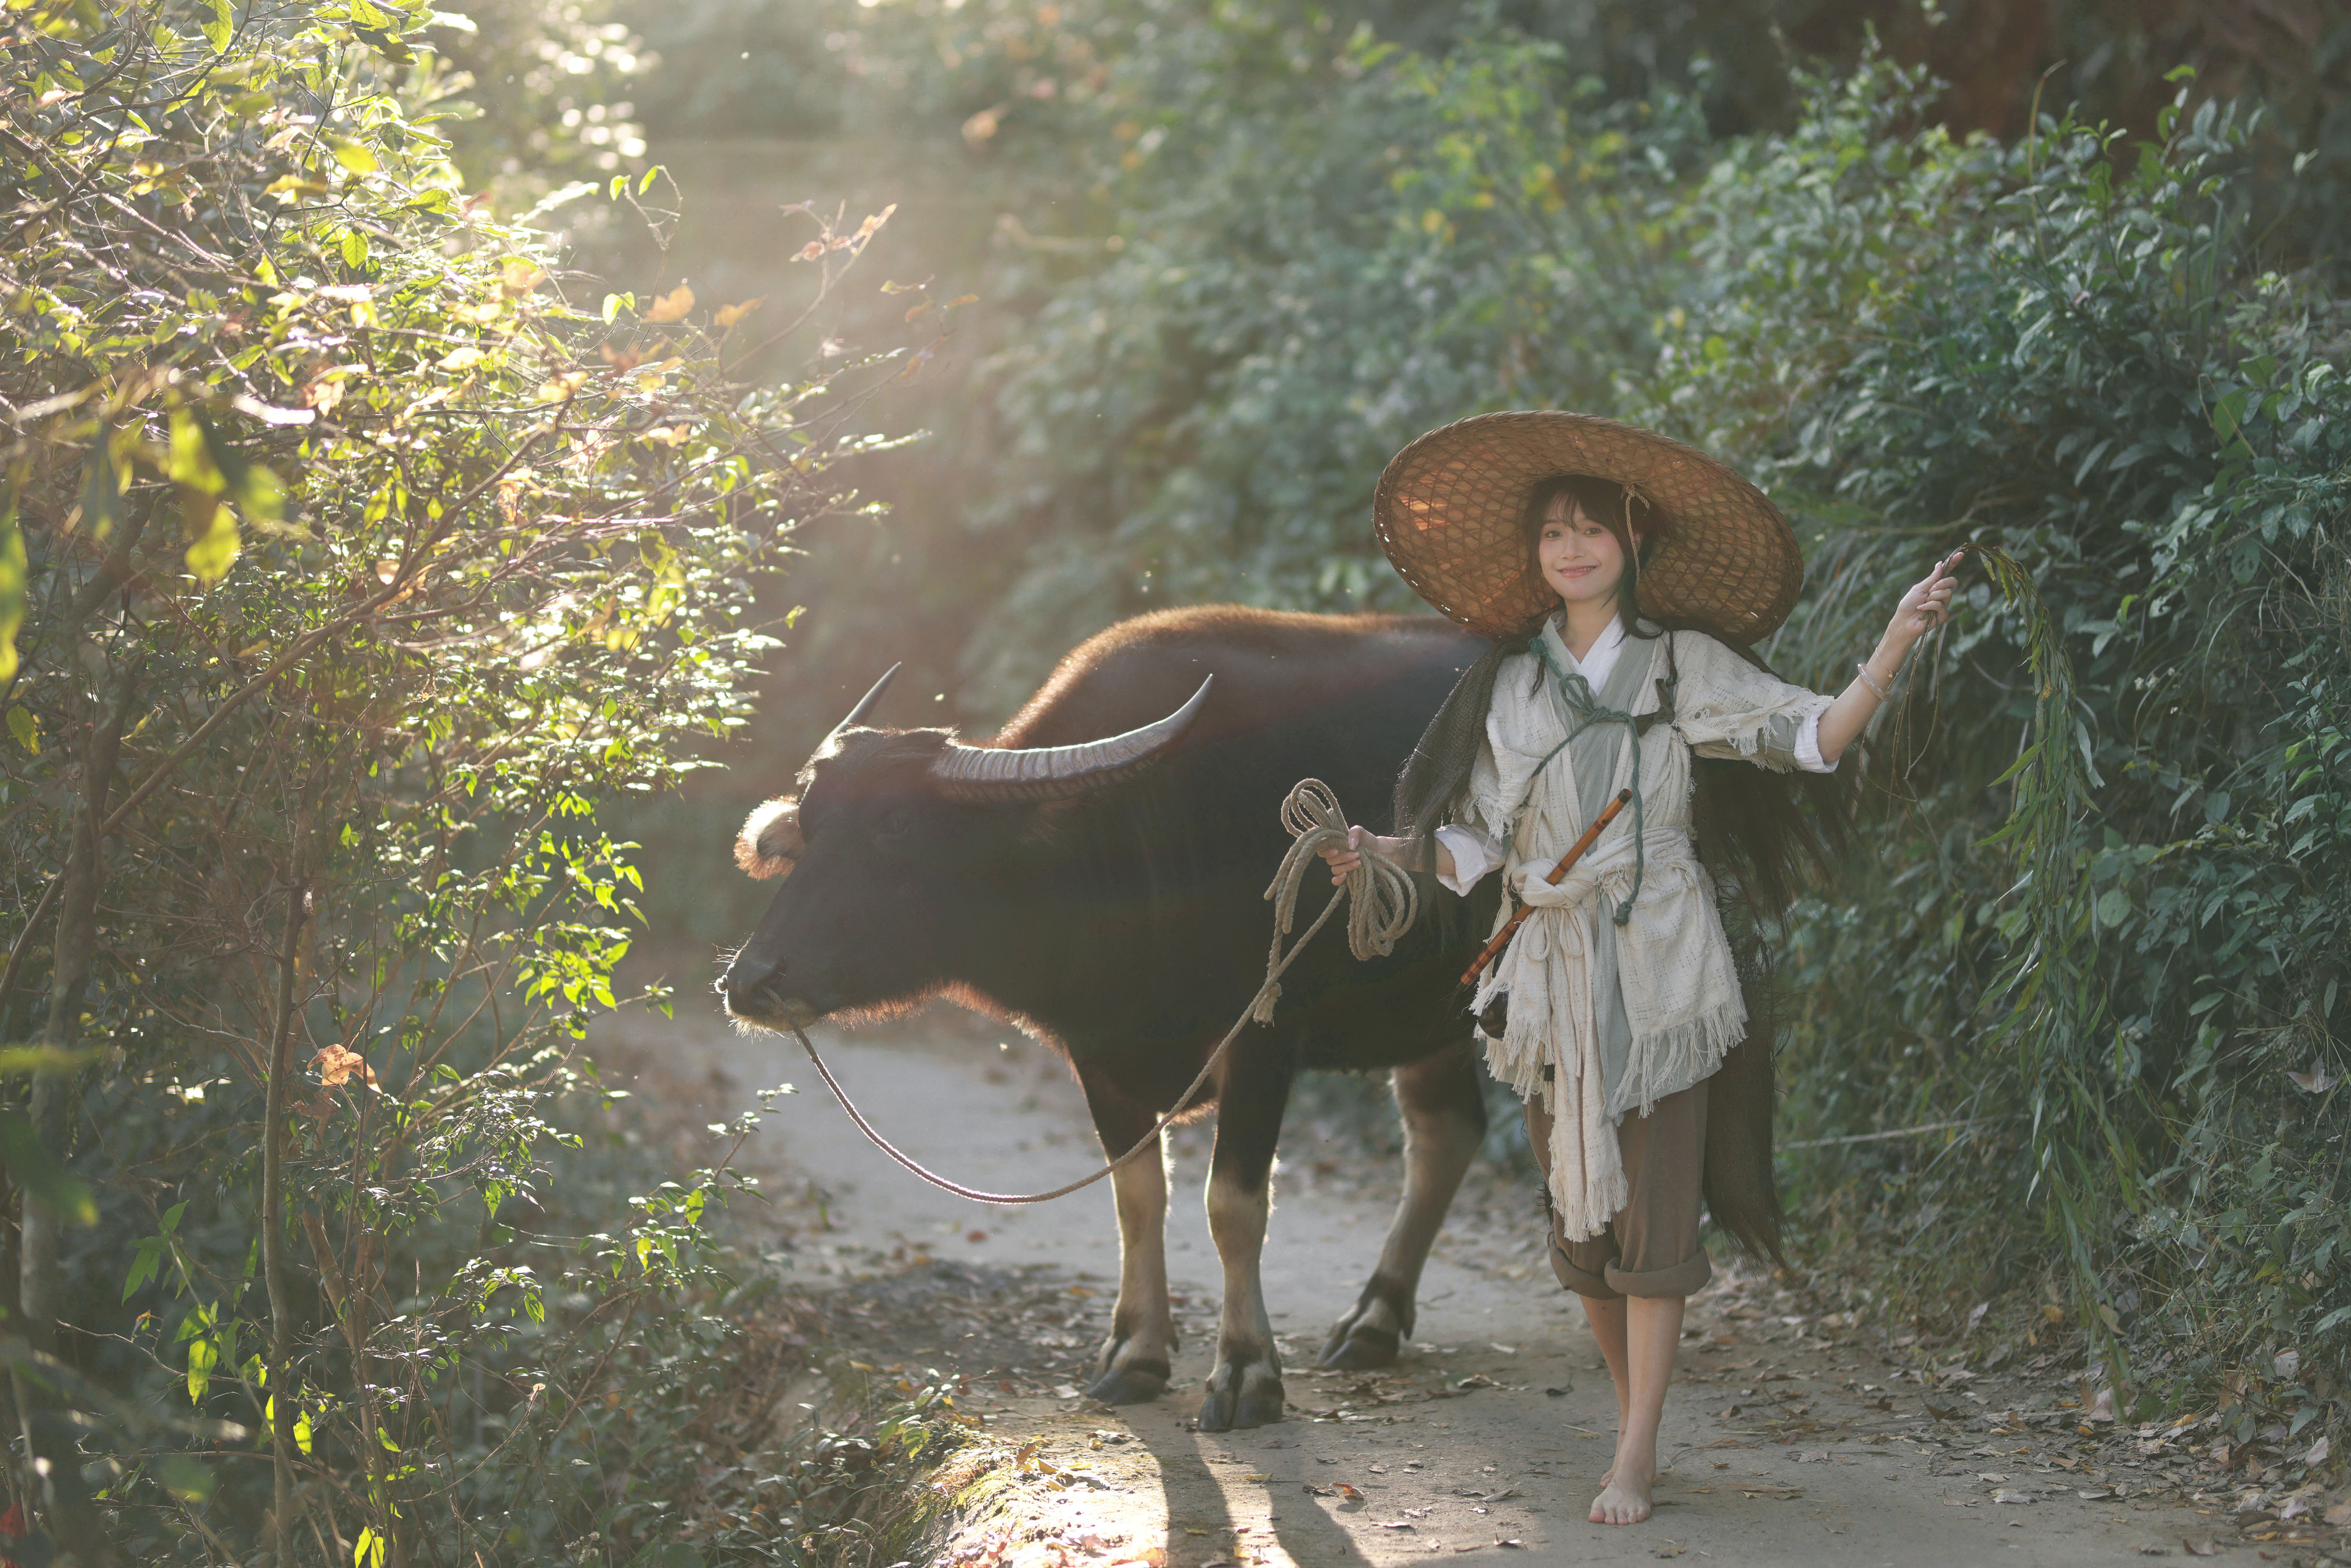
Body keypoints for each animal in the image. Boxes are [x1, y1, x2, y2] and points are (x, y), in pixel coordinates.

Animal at [714, 611, 1495, 1438]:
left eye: (895, 824)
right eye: (809, 825)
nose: (751, 980)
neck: (1135, 843)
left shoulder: (1262, 1042)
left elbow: (1233, 1207)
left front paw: (1246, 1370)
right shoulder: (1098, 1055)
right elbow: (1137, 1197)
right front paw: (1136, 1353)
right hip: (1432, 1021)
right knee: (1445, 1134)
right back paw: (1374, 1320)